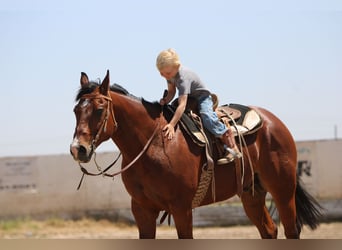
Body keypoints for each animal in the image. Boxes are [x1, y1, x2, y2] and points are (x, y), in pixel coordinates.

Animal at [71, 70, 322, 238]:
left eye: (100, 110)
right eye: (75, 110)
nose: (78, 148)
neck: (155, 144)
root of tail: (273, 122)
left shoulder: (182, 208)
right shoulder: (142, 210)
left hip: (282, 189)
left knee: (291, 230)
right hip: (252, 193)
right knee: (269, 230)